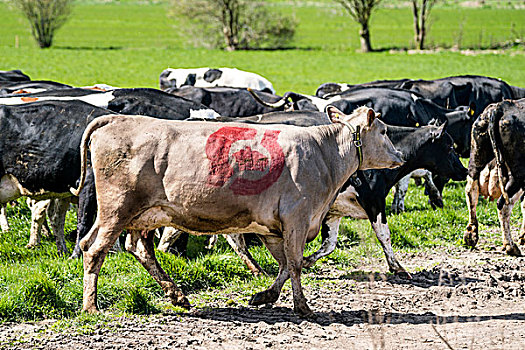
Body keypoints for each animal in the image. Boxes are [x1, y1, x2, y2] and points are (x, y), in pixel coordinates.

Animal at [71, 105, 404, 316]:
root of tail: (116, 120)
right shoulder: (296, 217)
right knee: (94, 248)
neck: (323, 154)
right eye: (384, 131)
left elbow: (284, 265)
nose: (400, 155)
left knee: (138, 248)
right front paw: (303, 307)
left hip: (144, 214)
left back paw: (176, 295)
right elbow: (296, 264)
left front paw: (265, 295)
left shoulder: (273, 227)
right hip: (117, 207)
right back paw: (91, 306)